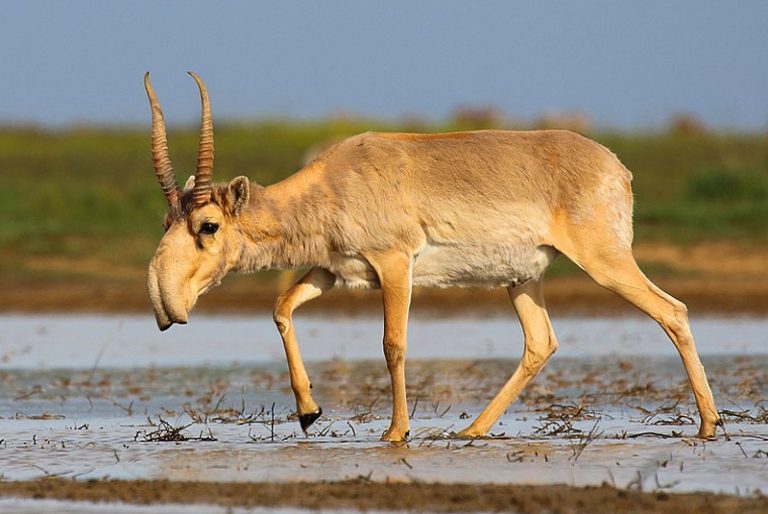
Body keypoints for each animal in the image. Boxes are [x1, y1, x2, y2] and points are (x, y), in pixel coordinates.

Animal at [142, 72, 720, 440]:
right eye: (167, 221)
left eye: (208, 225)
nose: (165, 305)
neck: (334, 181)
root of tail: (616, 167)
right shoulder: (333, 270)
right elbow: (281, 308)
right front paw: (309, 412)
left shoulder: (395, 265)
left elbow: (393, 344)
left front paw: (396, 432)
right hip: (521, 280)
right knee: (540, 342)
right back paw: (472, 430)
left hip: (605, 262)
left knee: (672, 311)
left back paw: (710, 424)